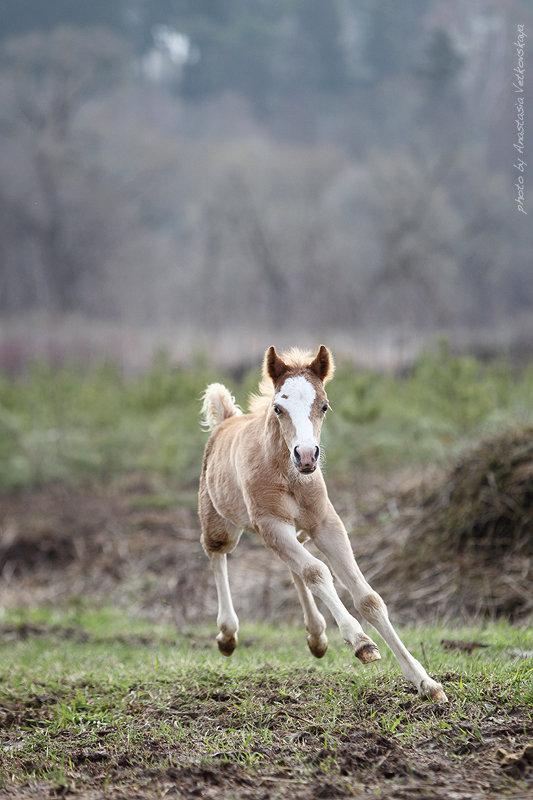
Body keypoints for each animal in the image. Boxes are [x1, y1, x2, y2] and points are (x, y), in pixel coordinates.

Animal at [197, 344, 446, 700]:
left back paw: (316, 636)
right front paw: (361, 641)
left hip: (294, 532)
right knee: (218, 554)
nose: (306, 456)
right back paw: (228, 635)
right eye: (278, 408)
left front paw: (425, 682)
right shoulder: (271, 524)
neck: (288, 475)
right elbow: (318, 571)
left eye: (324, 406)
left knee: (293, 568)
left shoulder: (326, 524)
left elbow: (368, 598)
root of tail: (226, 420)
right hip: (224, 524)